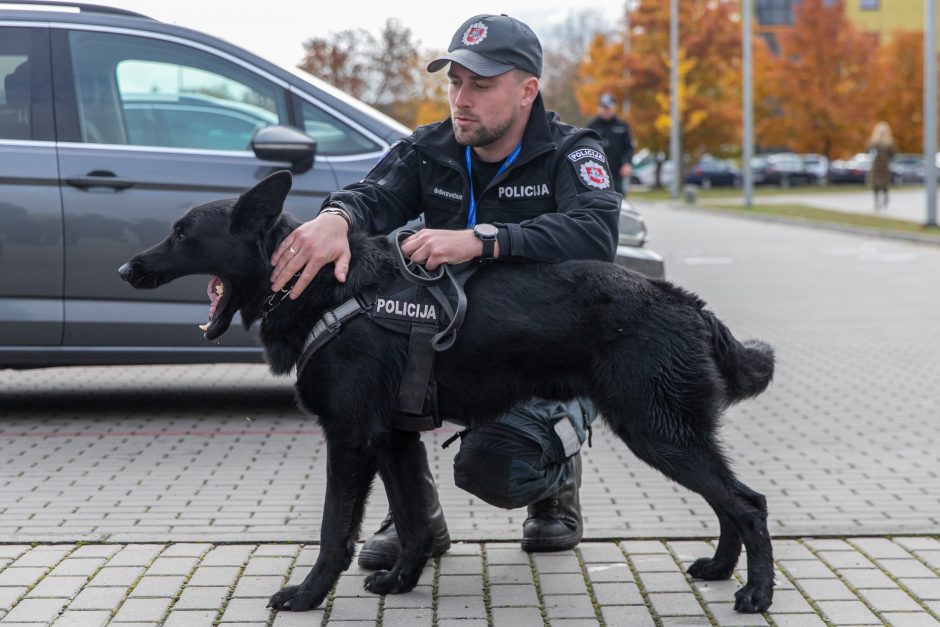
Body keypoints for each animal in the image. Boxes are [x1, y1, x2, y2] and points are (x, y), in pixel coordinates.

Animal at [117, 170, 776, 612]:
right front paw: (402, 582)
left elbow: (334, 529)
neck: (323, 287)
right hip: (670, 436)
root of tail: (685, 301)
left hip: (658, 434)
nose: (127, 270)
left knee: (747, 504)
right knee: (732, 502)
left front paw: (307, 595)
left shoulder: (352, 439)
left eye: (181, 234)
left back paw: (757, 592)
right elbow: (411, 519)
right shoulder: (394, 440)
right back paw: (722, 569)